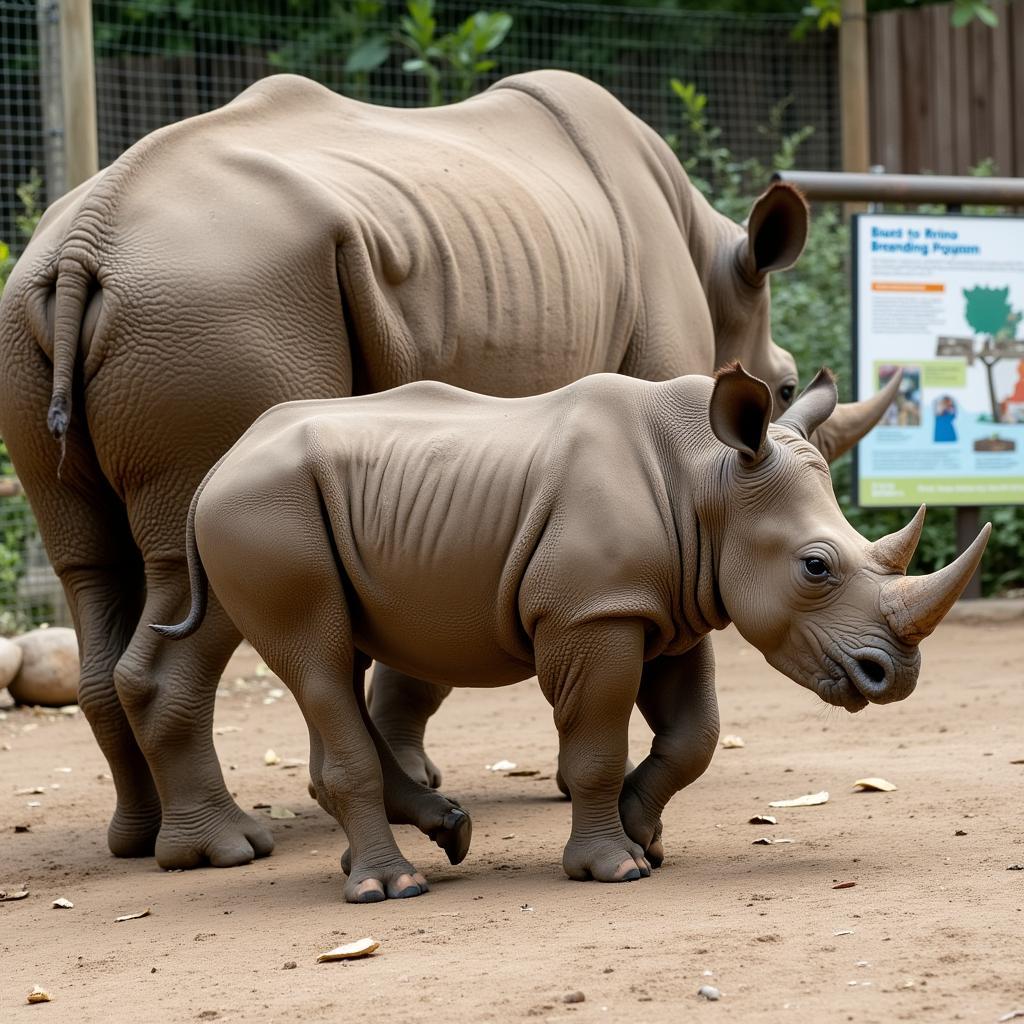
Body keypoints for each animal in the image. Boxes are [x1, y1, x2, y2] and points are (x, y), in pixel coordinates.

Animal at [0, 68, 897, 868]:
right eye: (787, 388)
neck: (715, 264)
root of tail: (86, 239)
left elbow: (410, 636)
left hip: (49, 309)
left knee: (92, 569)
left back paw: (140, 843)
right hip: (220, 303)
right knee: (191, 580)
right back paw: (226, 850)